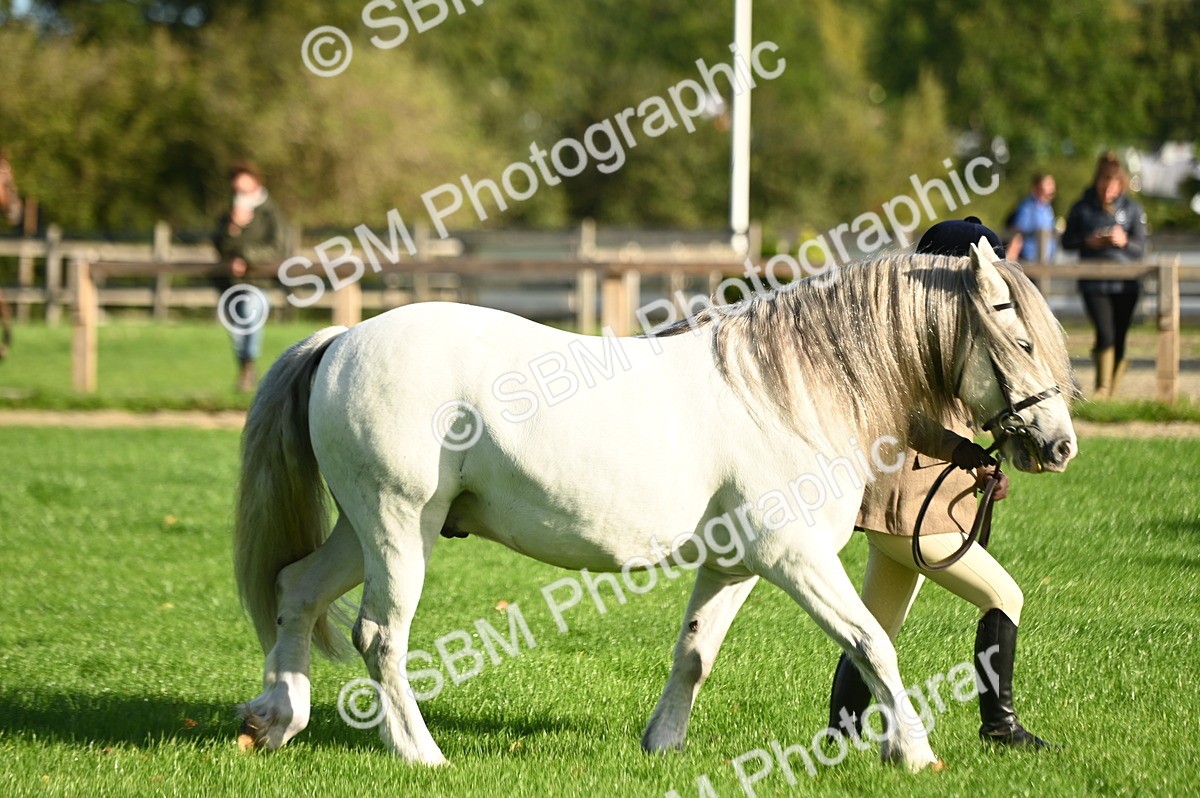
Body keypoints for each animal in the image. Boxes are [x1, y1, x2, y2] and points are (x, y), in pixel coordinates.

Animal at [232, 241, 1077, 771]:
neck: (791, 391)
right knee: (379, 635)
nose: (1060, 446)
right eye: (1023, 343)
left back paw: (276, 719)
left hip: (368, 529)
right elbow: (873, 643)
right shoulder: (797, 559)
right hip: (398, 525)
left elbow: (695, 653)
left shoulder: (735, 565)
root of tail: (343, 341)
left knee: (295, 590)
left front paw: (661, 746)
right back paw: (420, 753)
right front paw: (913, 750)